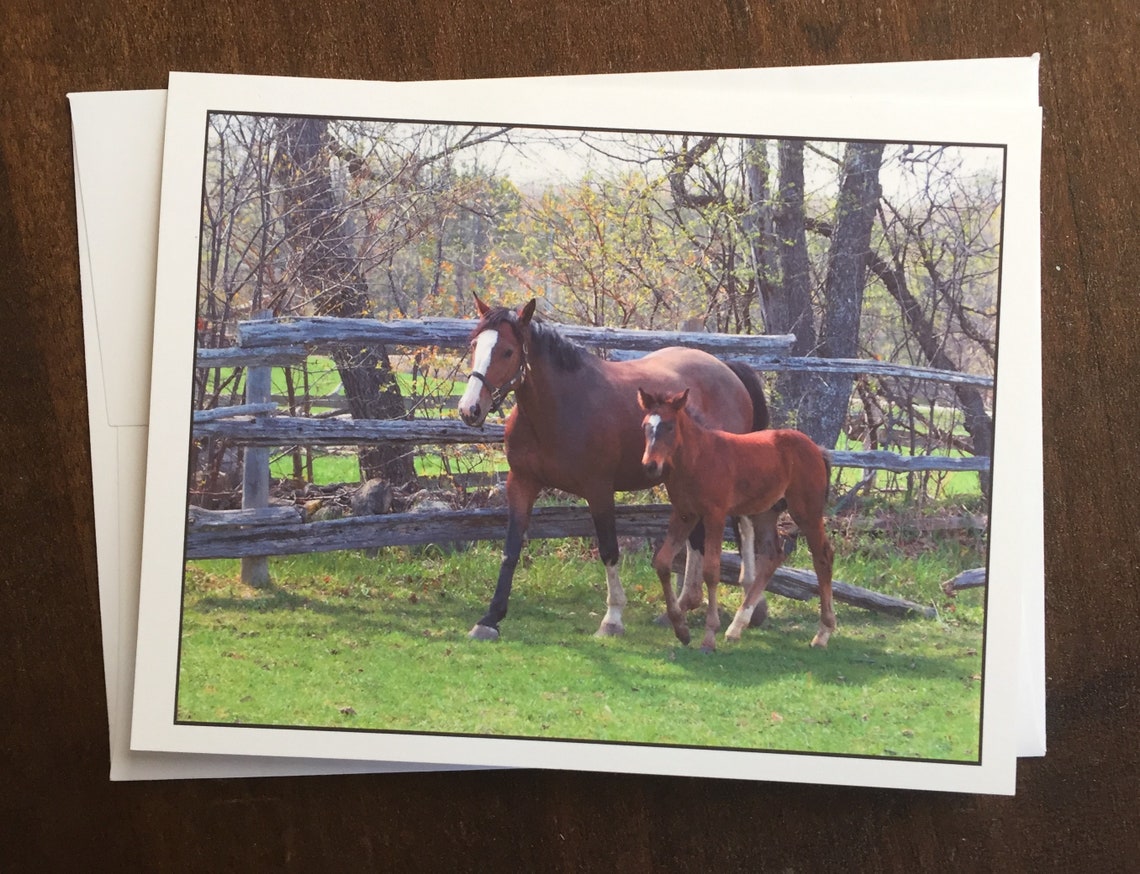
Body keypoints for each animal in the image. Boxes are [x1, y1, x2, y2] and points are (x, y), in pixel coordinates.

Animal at [456, 294, 776, 641]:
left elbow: (609, 550)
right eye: (474, 344)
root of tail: (728, 369)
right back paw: (683, 606)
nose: (470, 409)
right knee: (699, 536)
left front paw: (612, 619)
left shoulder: (598, 489)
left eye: (507, 351)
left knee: (744, 526)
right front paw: (490, 618)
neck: (561, 406)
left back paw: (747, 609)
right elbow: (510, 549)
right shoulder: (522, 483)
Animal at [638, 387, 837, 652]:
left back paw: (823, 633)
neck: (698, 458)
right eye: (645, 426)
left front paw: (709, 638)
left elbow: (711, 571)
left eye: (669, 426)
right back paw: (736, 627)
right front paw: (681, 629)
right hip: (765, 512)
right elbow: (662, 562)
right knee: (772, 555)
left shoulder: (715, 515)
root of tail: (817, 449)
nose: (650, 465)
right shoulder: (684, 514)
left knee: (823, 557)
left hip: (807, 512)